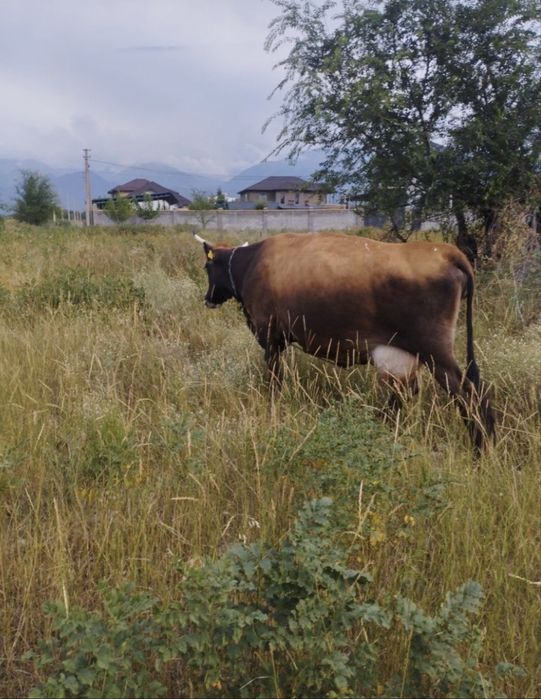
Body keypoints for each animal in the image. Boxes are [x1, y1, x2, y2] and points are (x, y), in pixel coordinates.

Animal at [194, 231, 495, 450]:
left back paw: (481, 448)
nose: (207, 299)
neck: (251, 263)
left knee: (467, 393)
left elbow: (274, 380)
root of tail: (446, 252)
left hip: (435, 351)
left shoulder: (271, 339)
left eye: (208, 266)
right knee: (407, 392)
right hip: (409, 351)